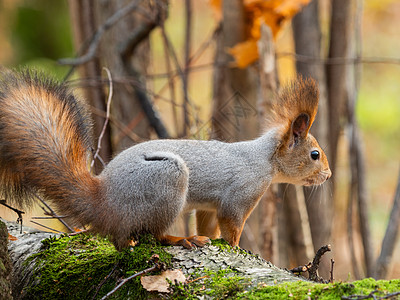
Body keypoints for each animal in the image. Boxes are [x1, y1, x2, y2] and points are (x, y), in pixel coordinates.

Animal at [0, 69, 332, 250]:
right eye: (314, 155)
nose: (328, 176)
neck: (263, 159)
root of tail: (104, 201)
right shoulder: (239, 195)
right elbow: (232, 225)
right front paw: (238, 248)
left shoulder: (208, 207)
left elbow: (208, 224)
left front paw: (209, 237)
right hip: (166, 182)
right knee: (149, 235)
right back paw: (179, 239)